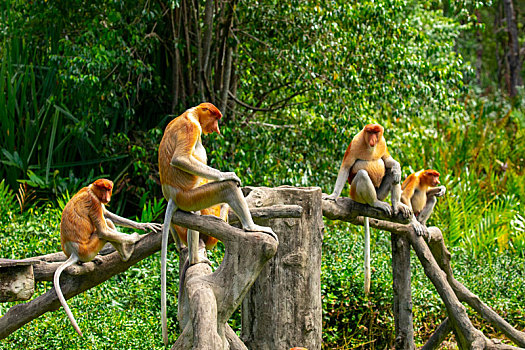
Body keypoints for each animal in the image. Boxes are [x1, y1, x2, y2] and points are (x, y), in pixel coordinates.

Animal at [54, 179, 162, 334]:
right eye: (103, 189)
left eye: (109, 189)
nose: (107, 197)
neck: (92, 190)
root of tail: (73, 252)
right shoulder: (94, 202)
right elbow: (103, 230)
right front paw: (135, 237)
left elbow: (109, 215)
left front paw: (144, 225)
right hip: (88, 249)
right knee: (103, 232)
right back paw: (126, 254)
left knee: (109, 222)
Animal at [157, 102, 276, 344]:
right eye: (215, 118)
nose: (217, 128)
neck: (191, 114)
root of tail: (172, 194)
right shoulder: (191, 128)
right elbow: (181, 160)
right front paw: (228, 174)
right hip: (192, 195)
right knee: (226, 190)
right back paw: (249, 227)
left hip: (189, 199)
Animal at [324, 124, 410, 294]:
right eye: (369, 132)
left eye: (376, 133)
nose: (372, 139)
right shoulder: (355, 143)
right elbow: (345, 168)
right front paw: (333, 196)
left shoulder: (382, 142)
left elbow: (387, 160)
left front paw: (397, 167)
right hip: (355, 193)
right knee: (363, 174)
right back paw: (376, 203)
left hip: (381, 192)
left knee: (391, 174)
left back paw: (396, 205)